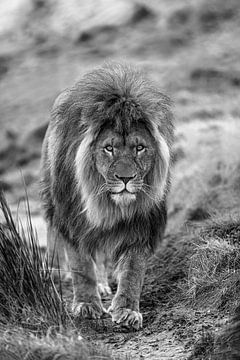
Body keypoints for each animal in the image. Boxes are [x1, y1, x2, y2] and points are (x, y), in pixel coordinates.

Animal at [39, 62, 174, 330]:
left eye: (139, 148)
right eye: (109, 148)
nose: (126, 179)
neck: (106, 203)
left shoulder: (141, 224)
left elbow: (133, 270)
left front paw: (127, 310)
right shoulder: (72, 217)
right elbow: (81, 265)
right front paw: (86, 305)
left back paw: (102, 285)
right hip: (52, 200)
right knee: (55, 235)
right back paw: (55, 272)